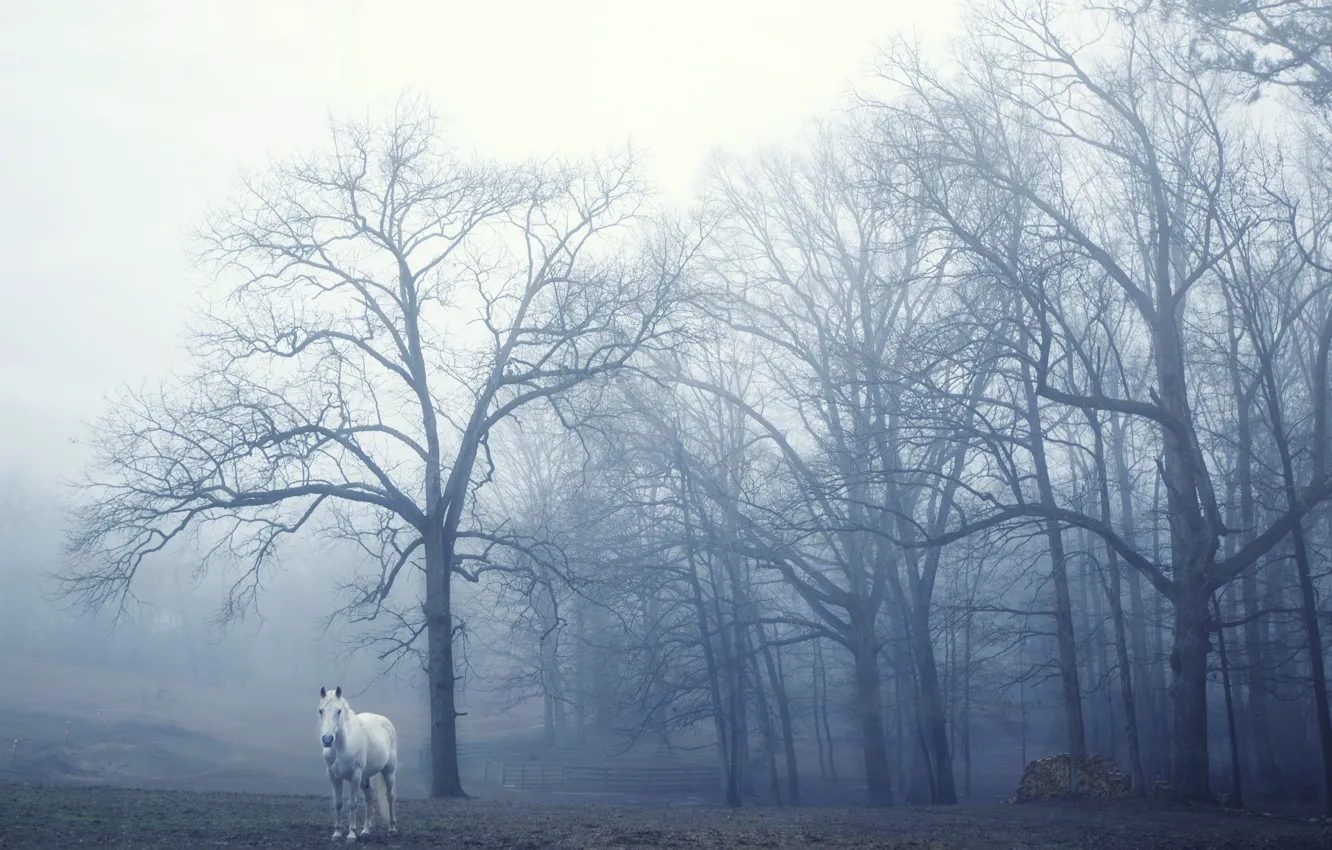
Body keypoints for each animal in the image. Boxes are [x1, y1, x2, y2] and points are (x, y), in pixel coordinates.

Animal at [318, 686, 398, 842]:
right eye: (321, 710)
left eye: (339, 711)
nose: (328, 739)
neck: (343, 746)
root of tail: (385, 722)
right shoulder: (333, 776)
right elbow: (338, 803)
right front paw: (337, 833)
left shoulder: (354, 775)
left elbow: (352, 804)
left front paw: (351, 834)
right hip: (364, 777)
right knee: (369, 797)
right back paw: (366, 831)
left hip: (389, 771)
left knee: (390, 796)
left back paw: (392, 829)